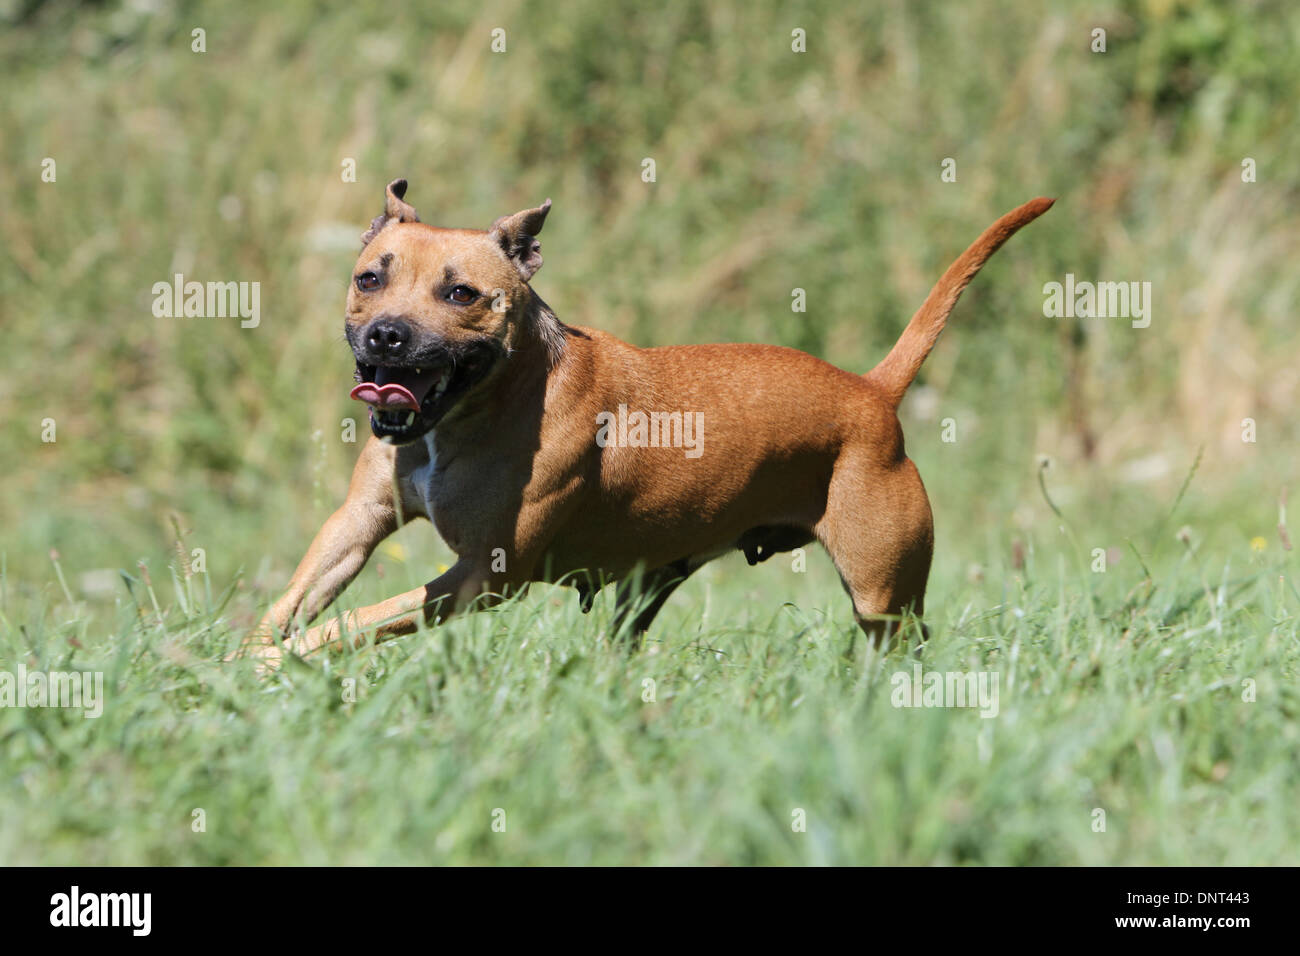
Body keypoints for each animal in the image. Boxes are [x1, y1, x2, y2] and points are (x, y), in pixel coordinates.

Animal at [241, 180, 1055, 671]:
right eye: (369, 278)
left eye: (462, 293)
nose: (387, 337)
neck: (485, 402)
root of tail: (872, 391)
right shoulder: (358, 521)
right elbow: (298, 598)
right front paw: (239, 658)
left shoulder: (482, 577)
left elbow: (363, 617)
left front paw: (284, 658)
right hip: (648, 592)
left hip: (884, 597)